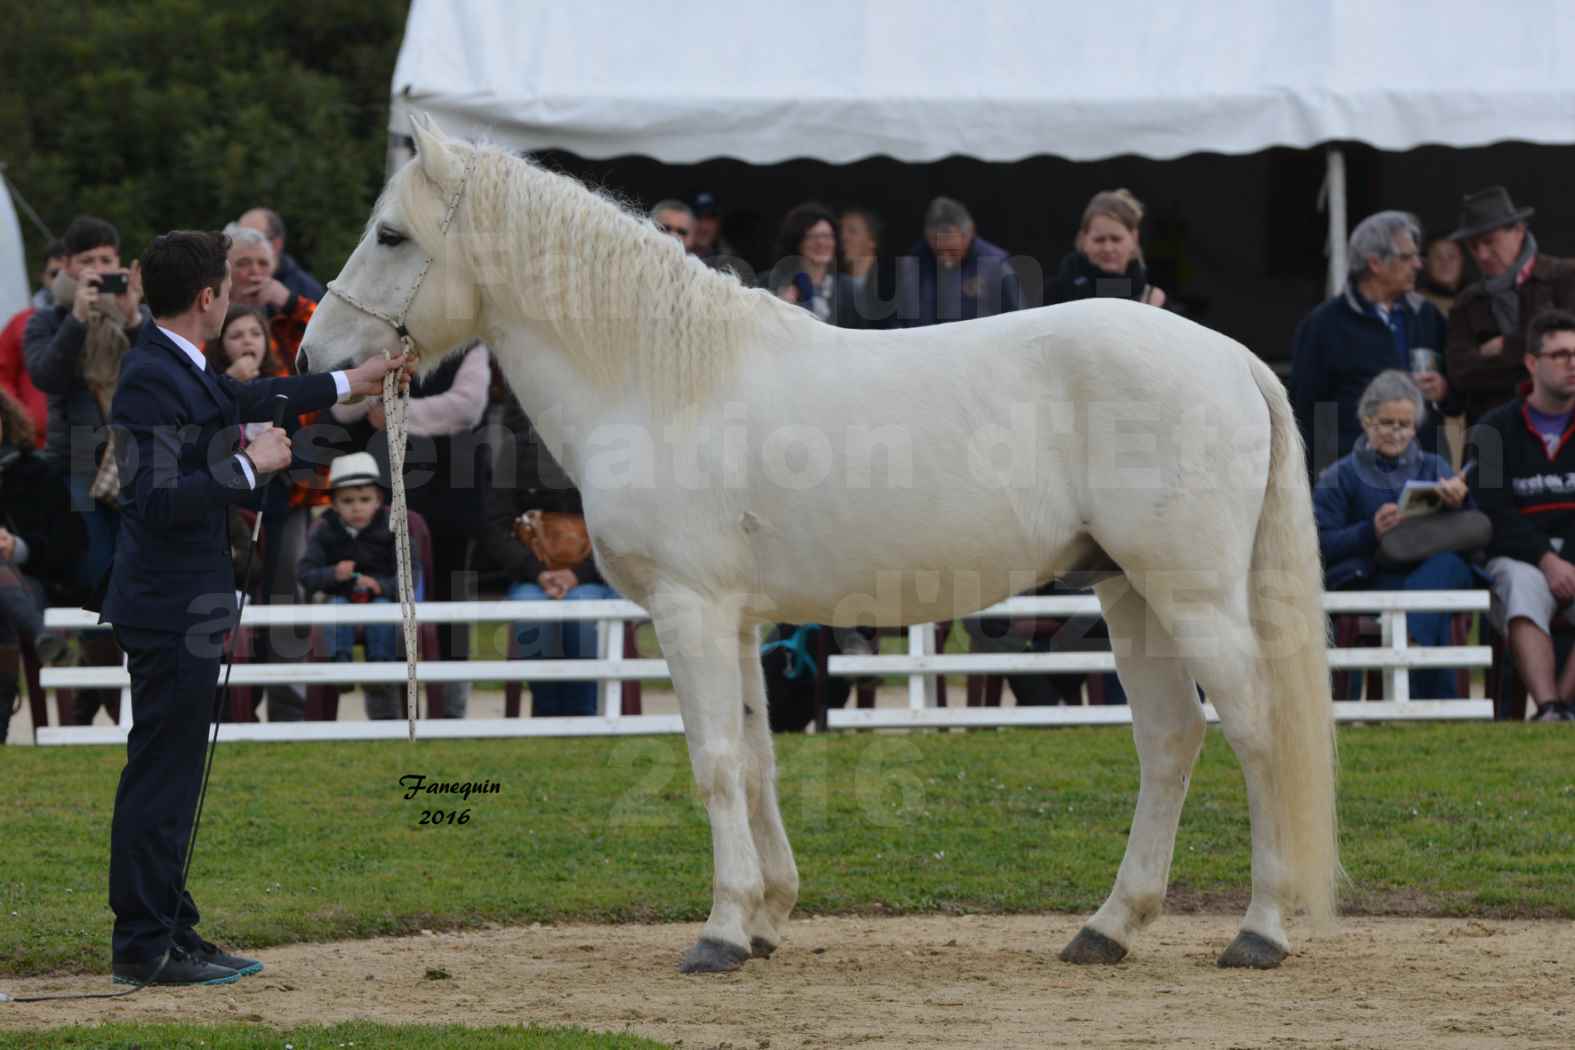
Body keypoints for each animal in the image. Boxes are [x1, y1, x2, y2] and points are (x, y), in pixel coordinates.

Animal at [303, 118, 1341, 976]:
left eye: (390, 235)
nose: (318, 363)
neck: (663, 382)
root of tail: (1230, 357)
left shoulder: (688, 611)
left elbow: (714, 760)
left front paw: (720, 933)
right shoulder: (735, 620)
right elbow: (758, 758)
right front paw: (767, 919)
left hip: (1192, 596)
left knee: (1255, 732)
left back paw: (1259, 930)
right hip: (1128, 593)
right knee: (1169, 741)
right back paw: (1108, 929)